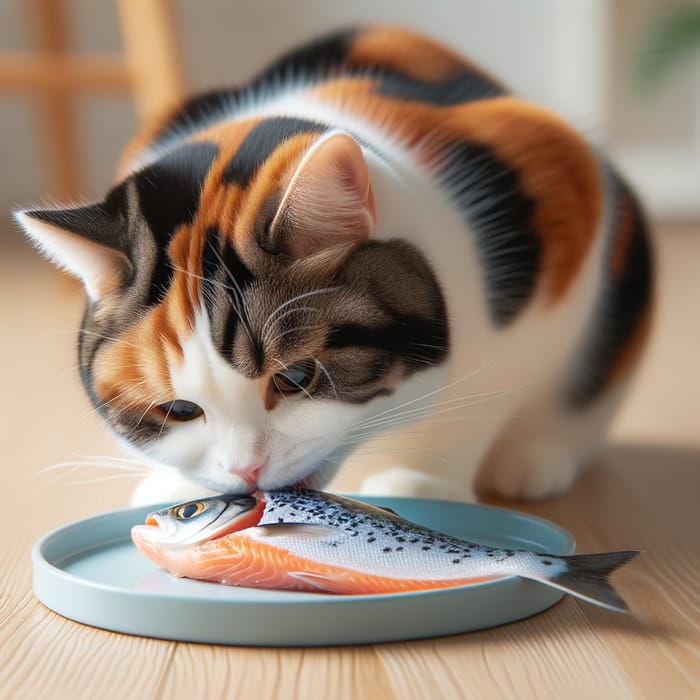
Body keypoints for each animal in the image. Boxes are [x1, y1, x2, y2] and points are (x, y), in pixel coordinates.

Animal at [15, 27, 652, 506]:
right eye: (178, 409)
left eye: (298, 376)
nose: (246, 471)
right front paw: (175, 485)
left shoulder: (564, 202)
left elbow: (488, 390)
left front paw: (424, 482)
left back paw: (535, 457)